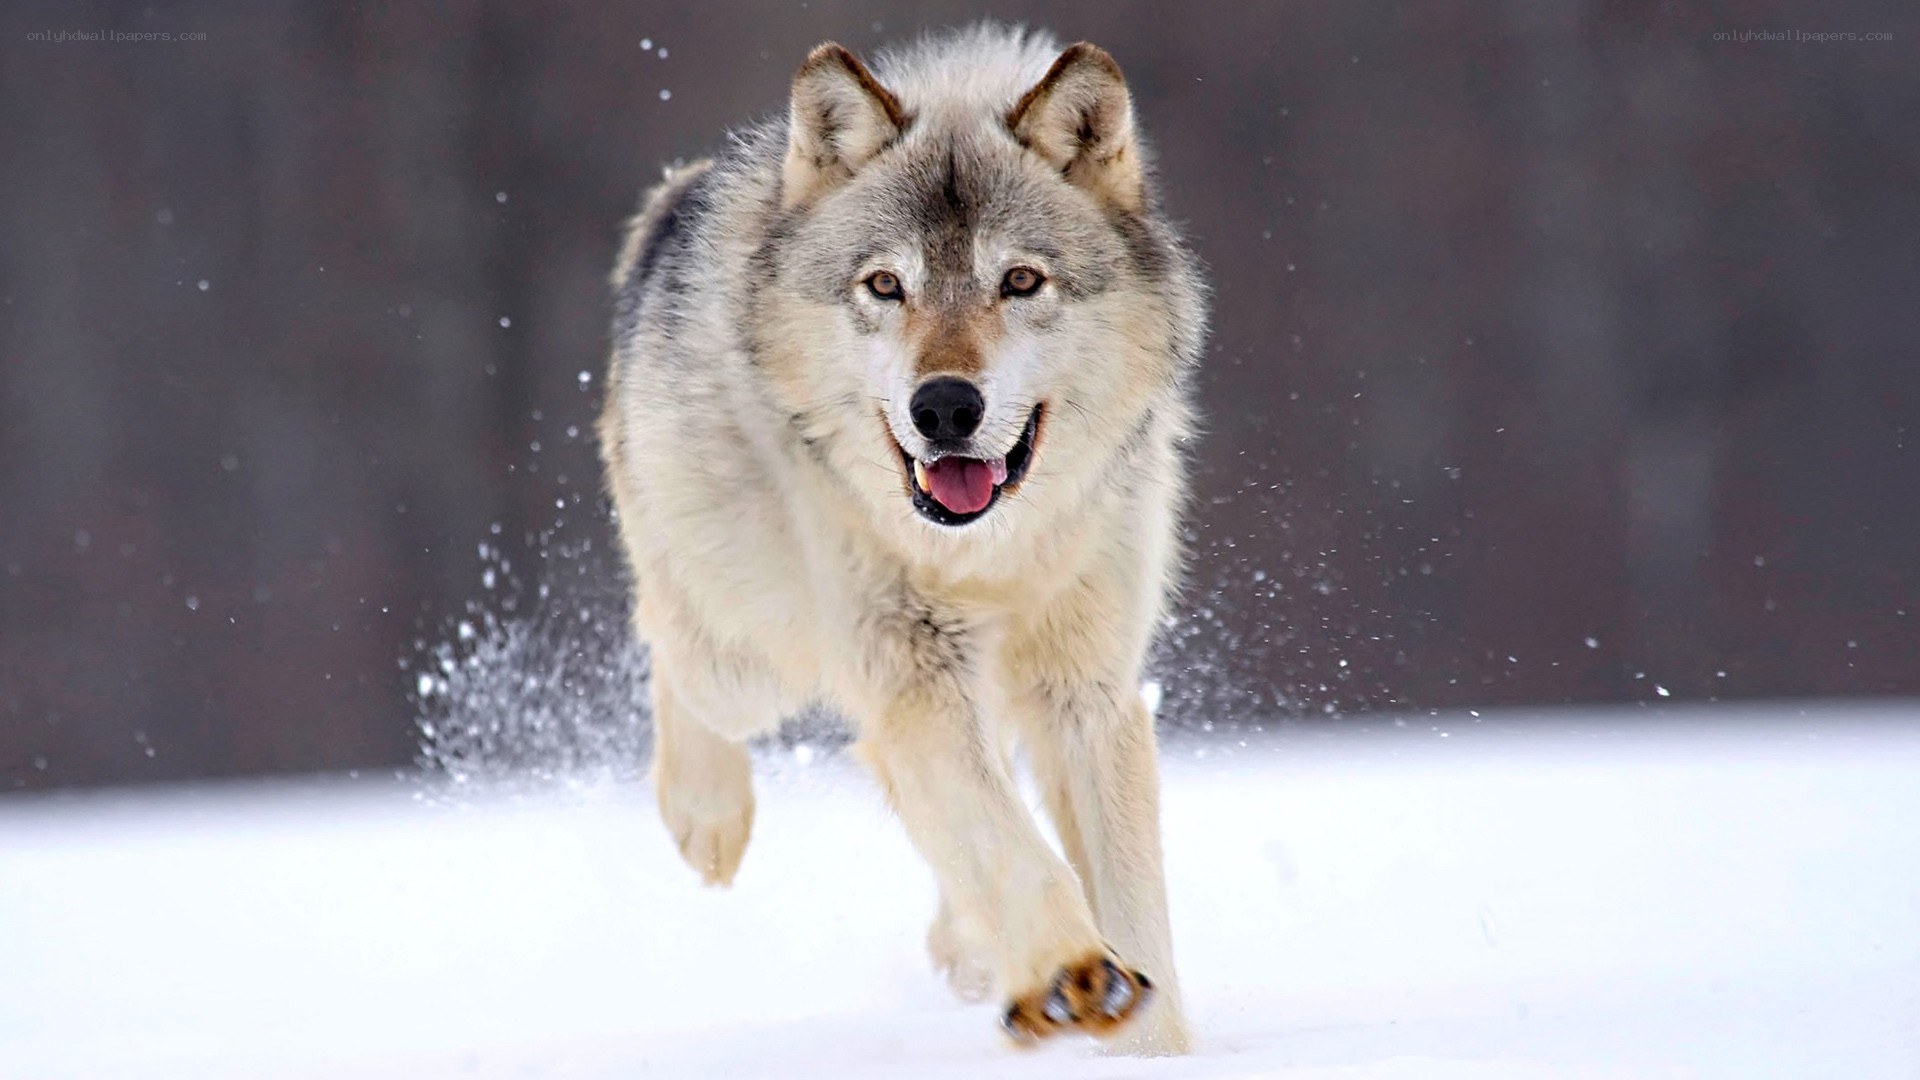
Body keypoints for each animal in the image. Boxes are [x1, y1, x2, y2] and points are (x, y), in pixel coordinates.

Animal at [598, 24, 1206, 1054]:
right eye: (886, 285)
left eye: (1020, 281)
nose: (945, 407)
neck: (987, 555)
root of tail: (678, 197)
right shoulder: (911, 672)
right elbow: (1011, 847)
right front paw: (1072, 973)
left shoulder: (1087, 693)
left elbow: (1131, 906)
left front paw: (1145, 1043)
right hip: (749, 653)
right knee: (670, 645)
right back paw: (706, 818)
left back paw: (969, 950)